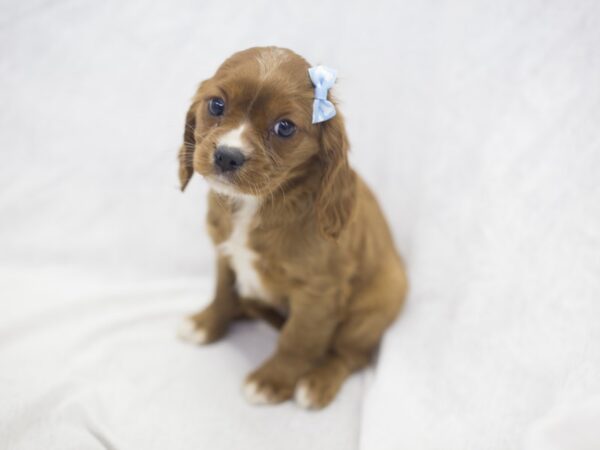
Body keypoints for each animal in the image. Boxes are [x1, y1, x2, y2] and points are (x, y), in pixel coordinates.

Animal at [176, 47, 406, 410]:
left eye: (284, 127)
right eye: (216, 105)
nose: (227, 156)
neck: (257, 203)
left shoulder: (318, 291)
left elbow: (297, 339)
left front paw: (272, 380)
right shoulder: (225, 255)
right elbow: (223, 294)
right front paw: (206, 323)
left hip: (373, 310)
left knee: (351, 355)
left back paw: (318, 381)